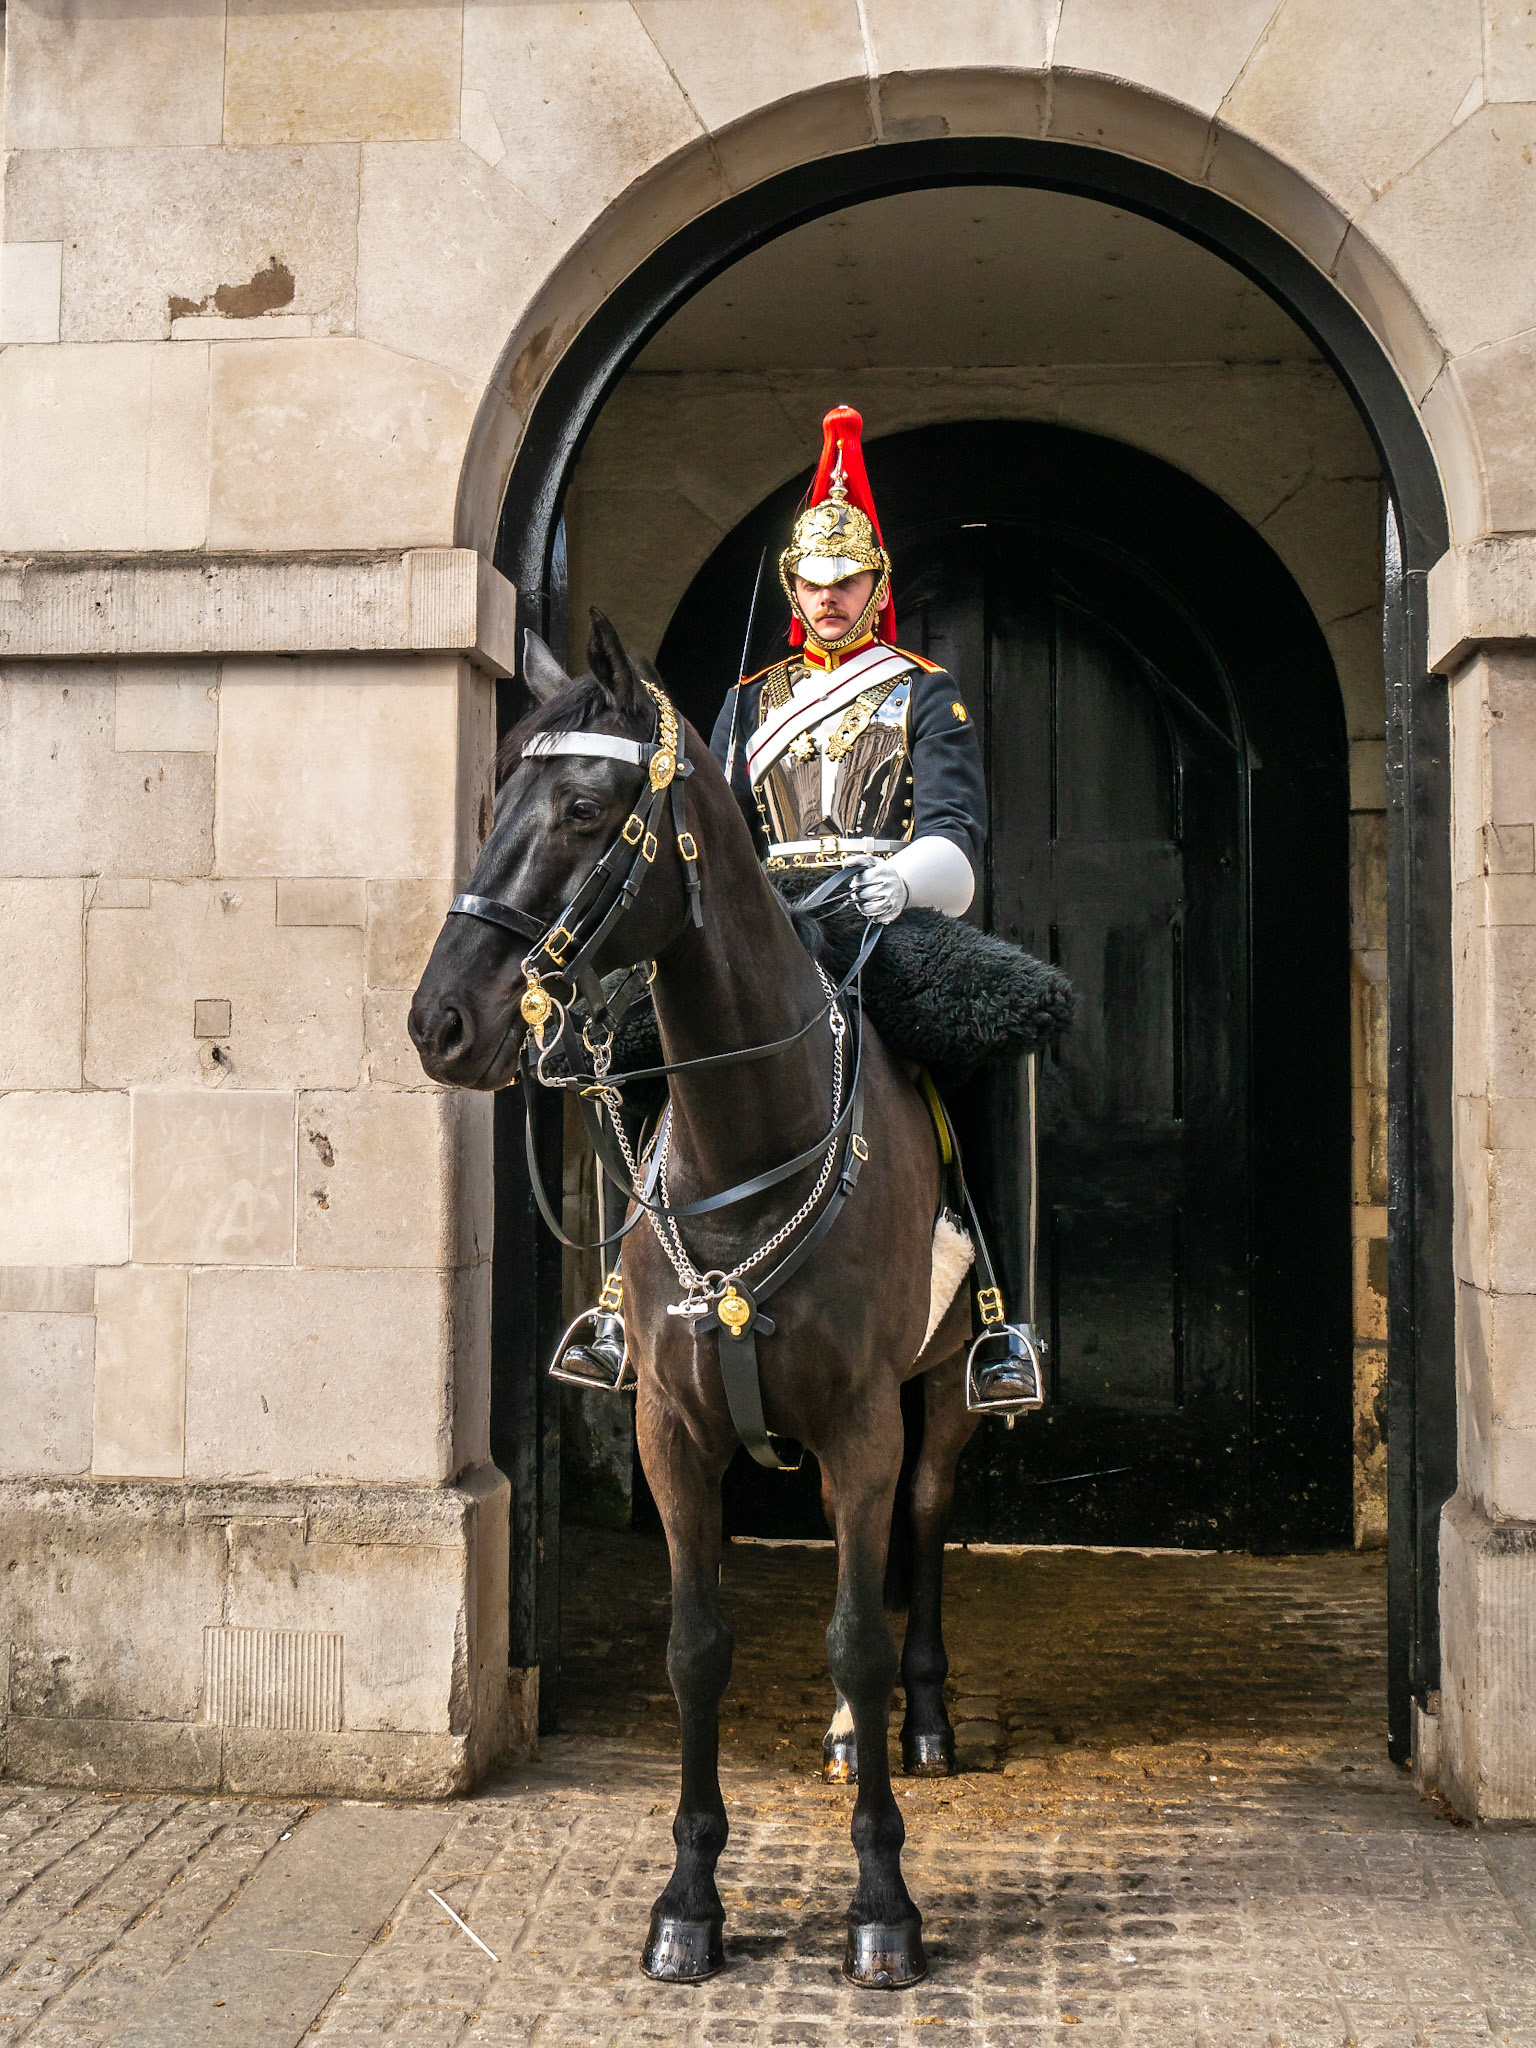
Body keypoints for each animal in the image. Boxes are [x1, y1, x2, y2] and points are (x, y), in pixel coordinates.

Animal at [409, 611, 986, 1990]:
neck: (746, 1134)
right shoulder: (673, 1428)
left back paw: (918, 1720)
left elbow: (855, 1629)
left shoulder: (861, 1424)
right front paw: (689, 1894)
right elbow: (697, 1646)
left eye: (581, 806)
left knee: (923, 1527)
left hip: (940, 1394)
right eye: (492, 798)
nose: (440, 1020)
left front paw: (883, 1901)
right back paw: (851, 1734)